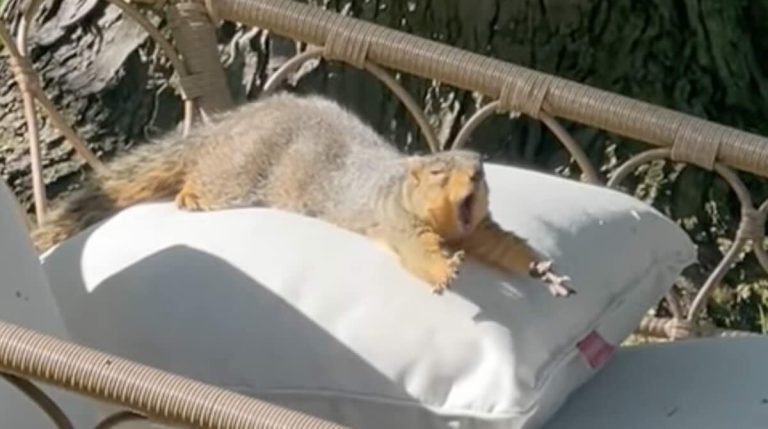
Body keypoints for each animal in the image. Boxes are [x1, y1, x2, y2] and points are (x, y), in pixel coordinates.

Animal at [31, 92, 574, 297]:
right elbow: (417, 253)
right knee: (205, 177)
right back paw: (189, 196)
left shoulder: (480, 229)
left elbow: (505, 245)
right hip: (238, 175)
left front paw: (545, 271)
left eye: (481, 166)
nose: (478, 176)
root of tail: (233, 126)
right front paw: (444, 271)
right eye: (440, 171)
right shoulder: (398, 223)